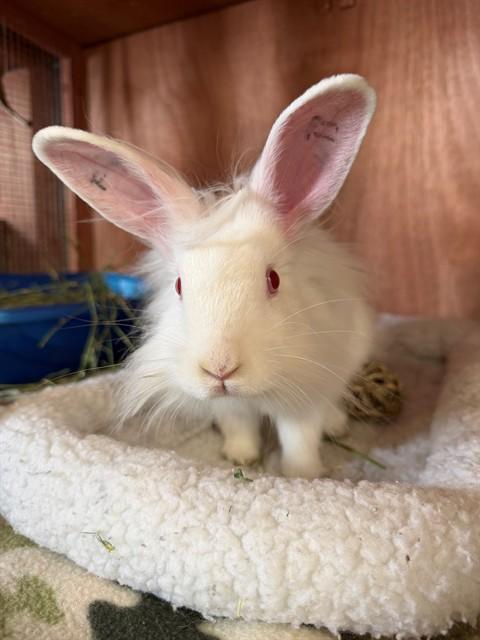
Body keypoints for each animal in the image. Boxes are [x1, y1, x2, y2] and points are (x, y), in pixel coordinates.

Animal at [32, 73, 376, 479]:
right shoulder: (229, 406)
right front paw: (240, 458)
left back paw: (337, 425)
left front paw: (301, 474)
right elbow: (238, 427)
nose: (219, 368)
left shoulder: (306, 391)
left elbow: (300, 438)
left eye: (273, 279)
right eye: (180, 285)